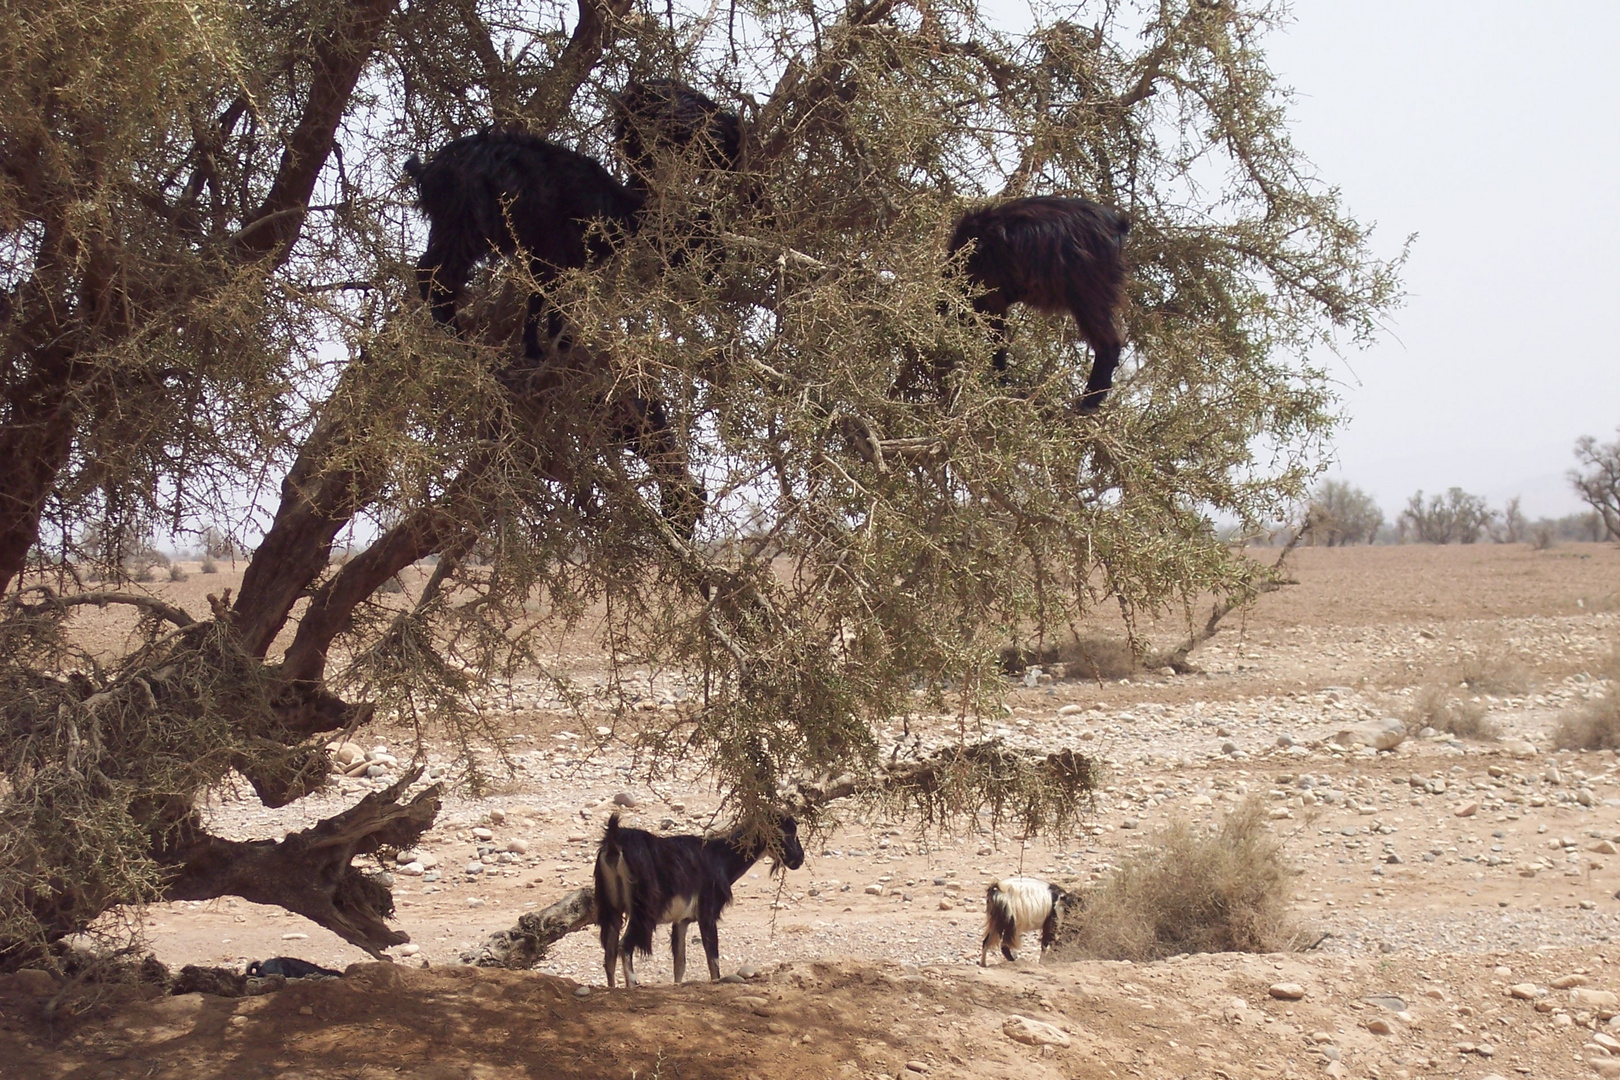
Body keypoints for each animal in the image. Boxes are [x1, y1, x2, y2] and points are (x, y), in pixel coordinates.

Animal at [596, 809, 803, 990]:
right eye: (785, 832)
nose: (799, 859)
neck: (719, 858)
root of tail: (615, 844)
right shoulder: (707, 914)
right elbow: (713, 962)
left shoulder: (681, 920)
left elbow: (680, 963)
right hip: (643, 911)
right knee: (624, 946)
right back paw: (632, 984)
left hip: (611, 907)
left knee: (609, 954)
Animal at [946, 194, 1134, 414]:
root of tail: (1116, 225)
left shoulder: (989, 297)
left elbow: (996, 341)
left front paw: (998, 382)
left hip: (1089, 293)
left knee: (1108, 343)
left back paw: (1087, 403)